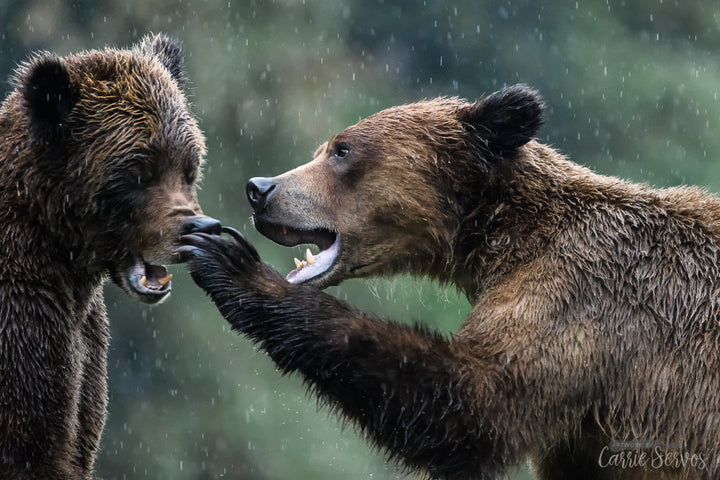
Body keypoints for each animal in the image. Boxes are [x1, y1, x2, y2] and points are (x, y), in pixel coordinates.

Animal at [179, 86, 720, 480]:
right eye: (324, 148)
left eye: (342, 149)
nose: (260, 189)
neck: (500, 239)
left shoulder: (582, 300)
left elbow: (476, 405)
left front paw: (228, 263)